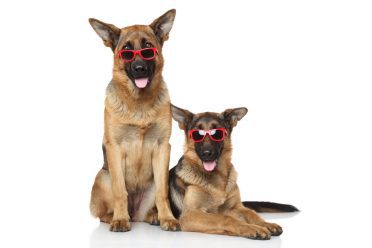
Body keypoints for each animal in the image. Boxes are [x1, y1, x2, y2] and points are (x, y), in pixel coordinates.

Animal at [88, 9, 179, 231]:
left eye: (148, 49)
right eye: (126, 51)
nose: (139, 68)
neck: (140, 103)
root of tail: (135, 212)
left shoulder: (163, 147)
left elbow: (162, 193)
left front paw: (168, 218)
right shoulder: (114, 148)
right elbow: (121, 190)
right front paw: (120, 220)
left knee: (148, 208)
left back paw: (154, 216)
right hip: (103, 176)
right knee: (105, 211)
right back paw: (116, 217)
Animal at [170, 105, 298, 240]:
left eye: (217, 133)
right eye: (197, 135)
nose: (207, 153)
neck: (217, 178)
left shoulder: (236, 207)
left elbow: (251, 213)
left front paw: (265, 224)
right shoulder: (190, 214)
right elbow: (225, 218)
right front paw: (251, 228)